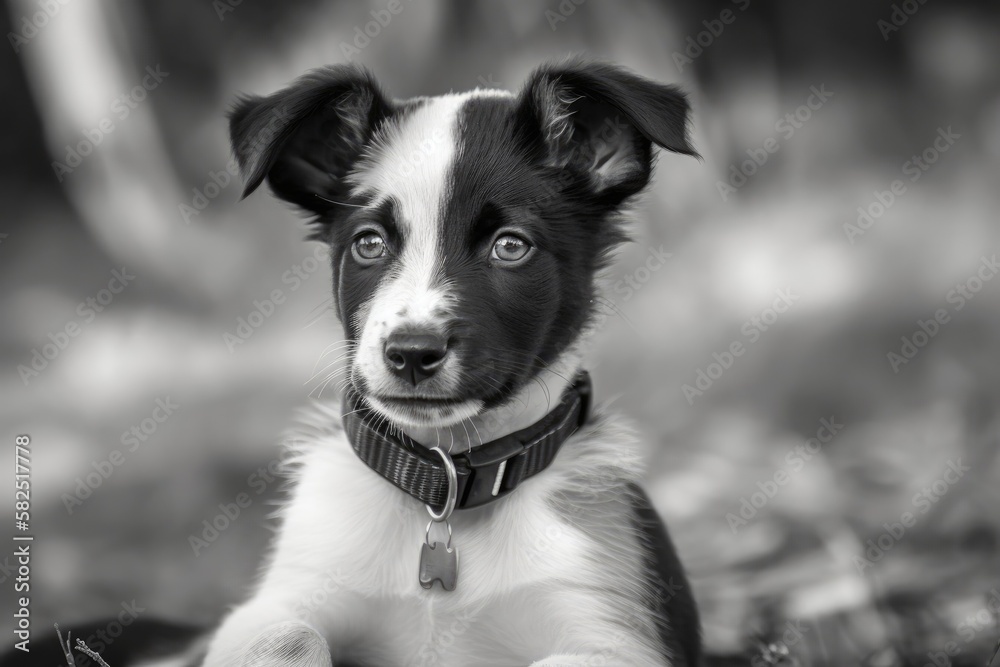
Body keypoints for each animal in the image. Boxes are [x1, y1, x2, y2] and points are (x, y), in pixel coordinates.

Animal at [206, 58, 700, 667]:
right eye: (368, 243)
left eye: (511, 246)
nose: (412, 353)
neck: (445, 488)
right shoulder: (286, 594)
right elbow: (288, 636)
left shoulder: (608, 626)